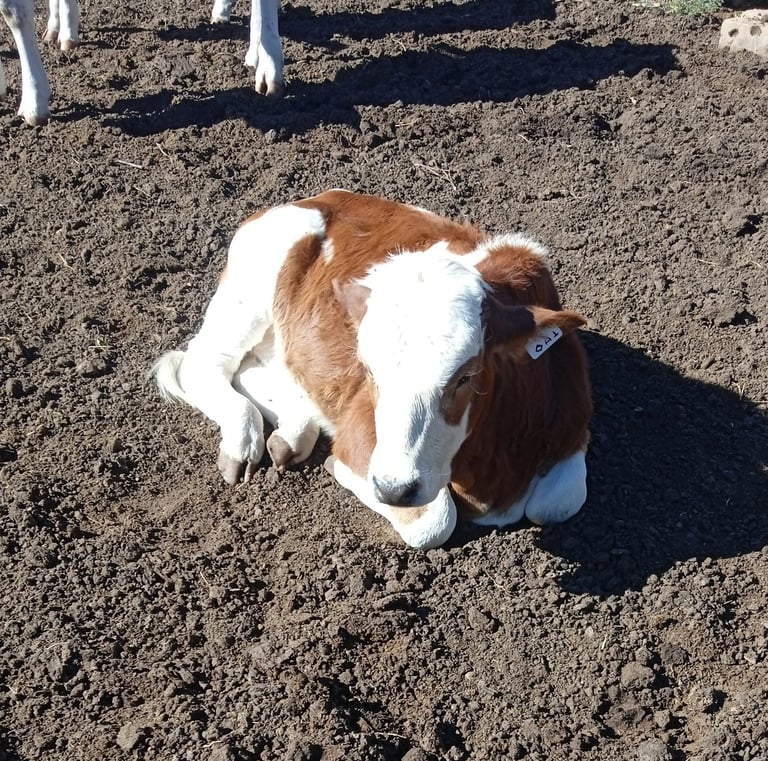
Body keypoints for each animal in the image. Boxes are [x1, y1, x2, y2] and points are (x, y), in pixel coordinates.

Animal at [152, 190, 593, 549]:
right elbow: (435, 520)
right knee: (202, 364)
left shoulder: (573, 422)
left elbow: (561, 501)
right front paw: (340, 468)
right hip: (248, 293)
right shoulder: (363, 432)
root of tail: (310, 200)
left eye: (466, 376)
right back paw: (243, 441)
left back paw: (293, 432)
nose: (393, 487)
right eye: (370, 371)